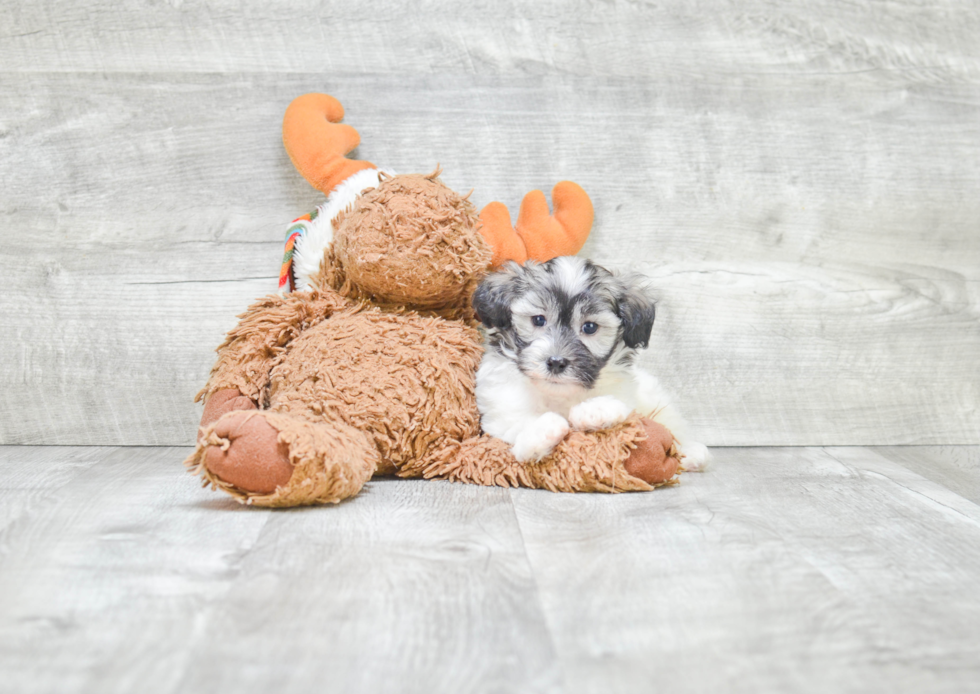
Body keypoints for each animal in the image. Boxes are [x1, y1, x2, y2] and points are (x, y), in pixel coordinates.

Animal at [470, 258, 708, 470]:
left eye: (590, 327)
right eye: (538, 320)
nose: (556, 362)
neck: (559, 394)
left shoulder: (627, 392)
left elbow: (624, 406)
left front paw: (595, 411)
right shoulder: (499, 407)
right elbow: (512, 423)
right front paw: (541, 431)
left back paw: (692, 453)